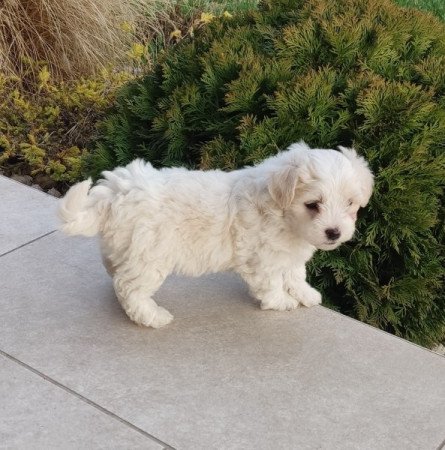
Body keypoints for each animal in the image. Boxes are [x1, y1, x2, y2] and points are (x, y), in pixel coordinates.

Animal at [58, 142, 372, 328]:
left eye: (350, 203)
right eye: (313, 204)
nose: (334, 232)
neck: (281, 212)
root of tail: (116, 192)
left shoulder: (289, 253)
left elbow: (295, 273)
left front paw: (305, 293)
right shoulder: (262, 258)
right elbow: (271, 282)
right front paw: (281, 302)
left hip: (126, 247)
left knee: (116, 272)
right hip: (149, 255)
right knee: (129, 287)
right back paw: (152, 316)